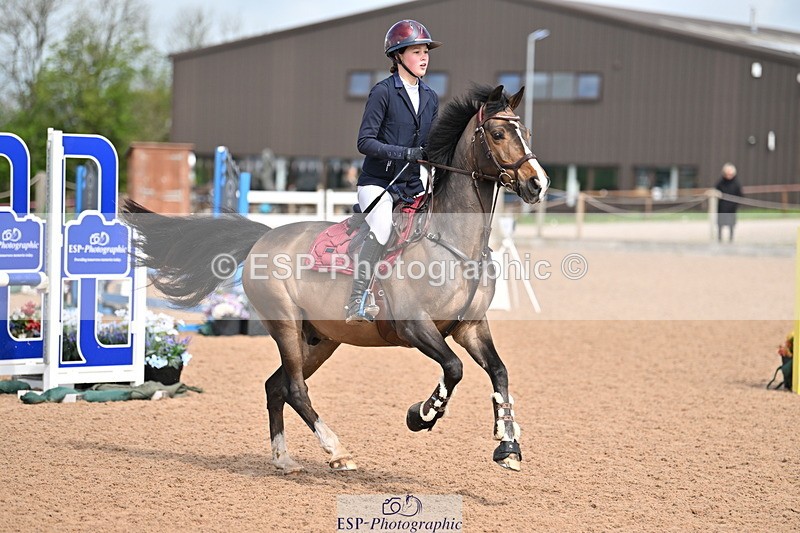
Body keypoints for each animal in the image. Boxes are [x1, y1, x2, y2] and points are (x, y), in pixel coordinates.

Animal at [121, 84, 549, 473]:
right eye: (498, 134)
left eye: (527, 132)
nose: (538, 184)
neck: (452, 243)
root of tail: (263, 237)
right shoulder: (415, 325)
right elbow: (454, 368)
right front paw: (423, 414)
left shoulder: (470, 326)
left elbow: (499, 372)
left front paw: (508, 446)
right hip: (285, 326)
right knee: (295, 389)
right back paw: (337, 451)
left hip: (320, 339)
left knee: (276, 386)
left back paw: (284, 459)